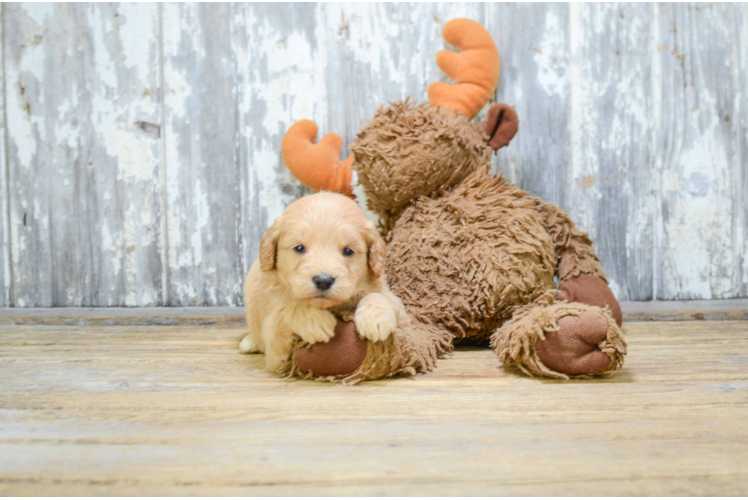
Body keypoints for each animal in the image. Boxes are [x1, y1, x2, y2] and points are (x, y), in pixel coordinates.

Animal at [238, 191, 404, 372]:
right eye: (299, 248)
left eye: (348, 251)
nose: (323, 281)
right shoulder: (275, 351)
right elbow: (289, 310)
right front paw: (315, 321)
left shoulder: (394, 301)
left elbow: (379, 296)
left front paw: (376, 317)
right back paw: (249, 342)